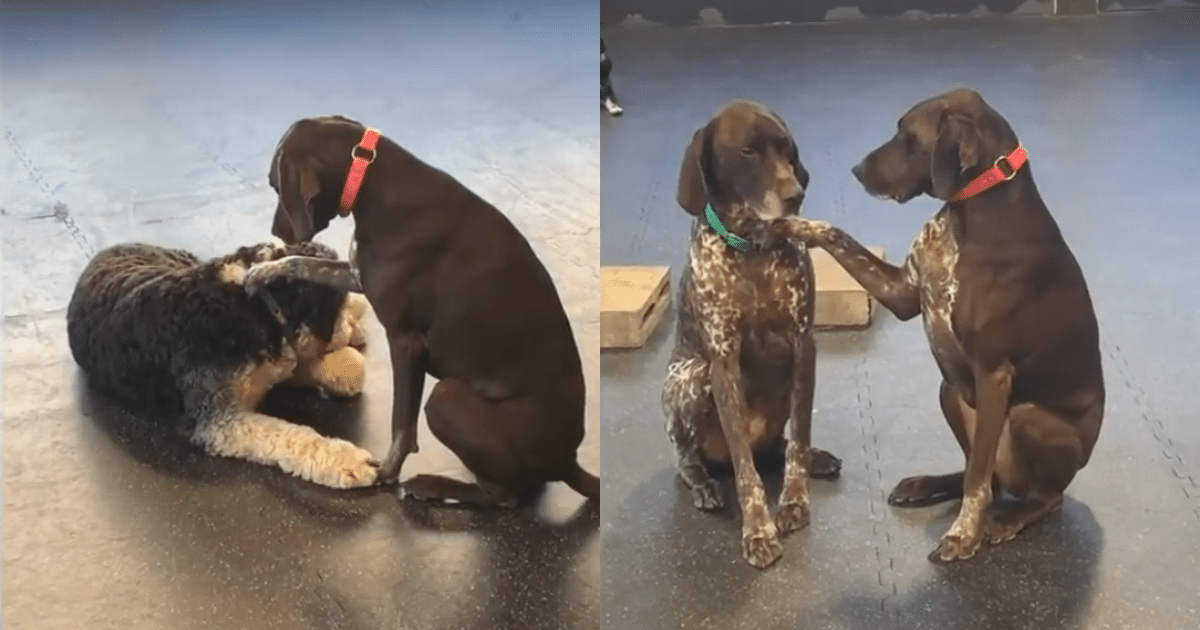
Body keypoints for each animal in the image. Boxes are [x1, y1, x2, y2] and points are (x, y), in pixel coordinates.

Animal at [64, 238, 379, 489]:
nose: (349, 324)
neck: (257, 306)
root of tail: (111, 247)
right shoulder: (217, 420)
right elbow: (289, 435)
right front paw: (348, 461)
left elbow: (304, 364)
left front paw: (344, 366)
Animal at [265, 112, 597, 506]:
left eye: (274, 186)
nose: (276, 231)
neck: (373, 181)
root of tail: (567, 461)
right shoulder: (356, 276)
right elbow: (302, 263)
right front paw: (260, 271)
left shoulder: (406, 342)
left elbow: (401, 426)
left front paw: (385, 474)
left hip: (446, 397)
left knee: (505, 496)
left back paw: (437, 487)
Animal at [667, 99, 844, 568]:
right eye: (747, 152)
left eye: (788, 150)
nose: (795, 195)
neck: (752, 249)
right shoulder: (722, 364)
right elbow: (745, 470)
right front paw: (758, 530)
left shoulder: (804, 345)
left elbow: (799, 437)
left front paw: (794, 500)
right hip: (690, 379)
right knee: (689, 459)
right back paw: (704, 484)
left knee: (781, 445)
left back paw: (814, 459)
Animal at [772, 87, 1099, 559]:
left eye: (907, 136)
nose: (856, 170)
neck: (973, 210)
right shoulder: (901, 293)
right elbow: (840, 237)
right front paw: (794, 223)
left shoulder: (993, 374)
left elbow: (979, 479)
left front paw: (963, 535)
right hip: (951, 390)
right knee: (985, 474)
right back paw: (926, 485)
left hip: (1027, 419)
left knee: (1038, 495)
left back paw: (1010, 518)